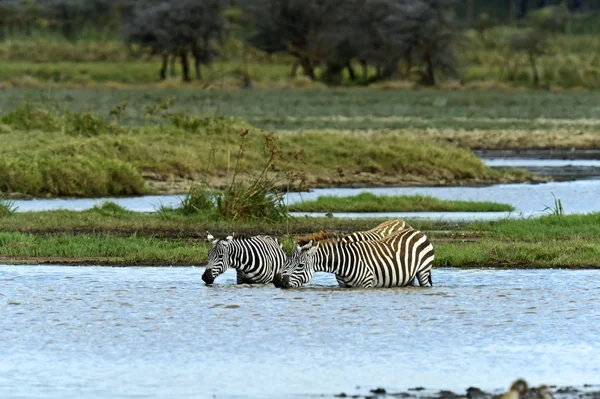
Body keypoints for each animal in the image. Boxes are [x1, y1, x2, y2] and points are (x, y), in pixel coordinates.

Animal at [274, 228, 434, 290]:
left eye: (300, 265)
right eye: (286, 262)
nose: (278, 281)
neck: (343, 263)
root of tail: (417, 231)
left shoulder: (366, 283)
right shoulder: (344, 286)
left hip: (423, 271)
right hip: (408, 276)